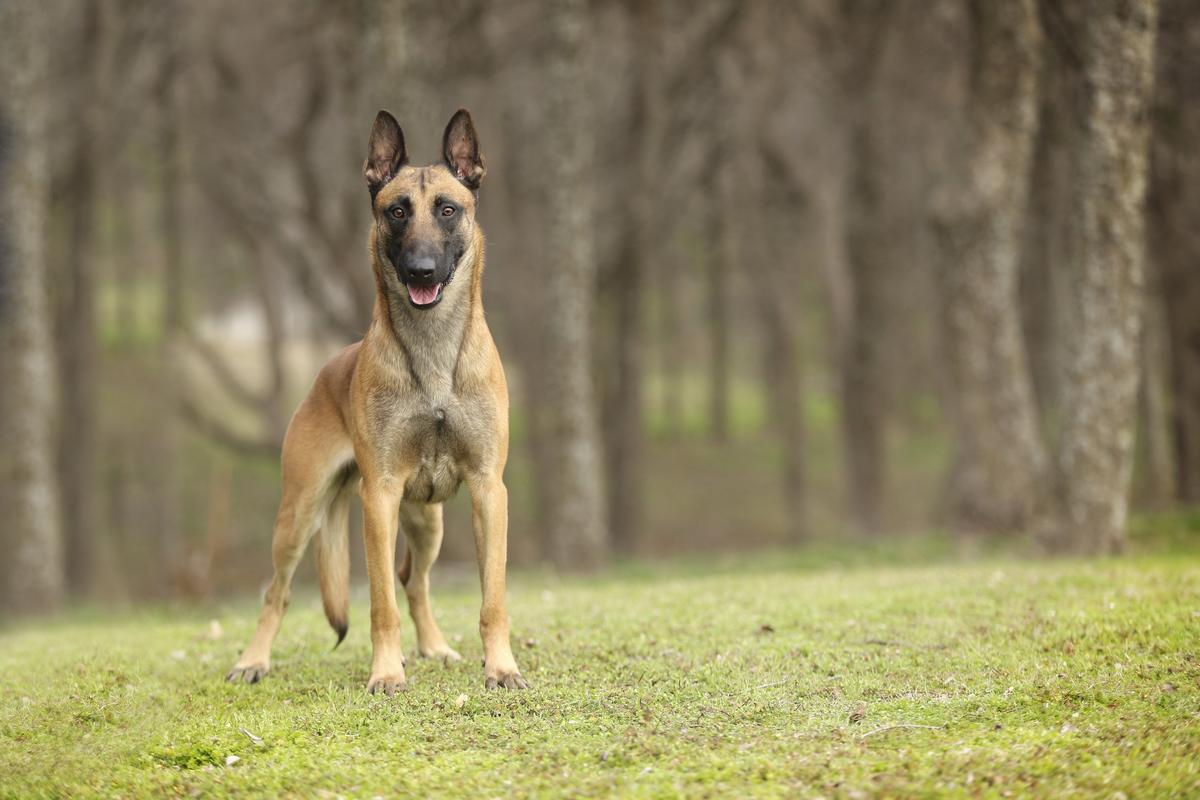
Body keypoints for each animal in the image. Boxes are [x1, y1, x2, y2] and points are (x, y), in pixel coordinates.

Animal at [225, 107, 525, 695]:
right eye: (397, 211)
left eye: (448, 209)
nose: (420, 270)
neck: (432, 353)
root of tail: (326, 371)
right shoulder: (379, 497)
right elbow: (380, 603)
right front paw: (386, 672)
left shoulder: (488, 490)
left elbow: (492, 599)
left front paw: (500, 667)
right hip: (299, 515)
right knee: (278, 592)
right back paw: (254, 660)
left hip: (427, 524)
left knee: (415, 581)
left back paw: (433, 647)